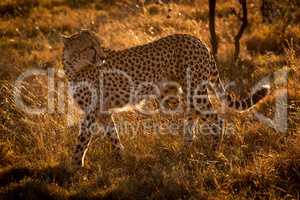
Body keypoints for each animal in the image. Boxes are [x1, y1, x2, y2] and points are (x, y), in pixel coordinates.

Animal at [61, 29, 270, 167]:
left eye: (97, 44)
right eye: (90, 47)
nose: (103, 56)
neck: (74, 67)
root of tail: (197, 39)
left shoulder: (91, 111)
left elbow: (82, 138)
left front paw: (75, 166)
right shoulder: (103, 111)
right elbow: (113, 135)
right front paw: (121, 157)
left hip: (194, 92)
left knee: (216, 119)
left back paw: (214, 151)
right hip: (176, 94)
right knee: (191, 116)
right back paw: (185, 151)